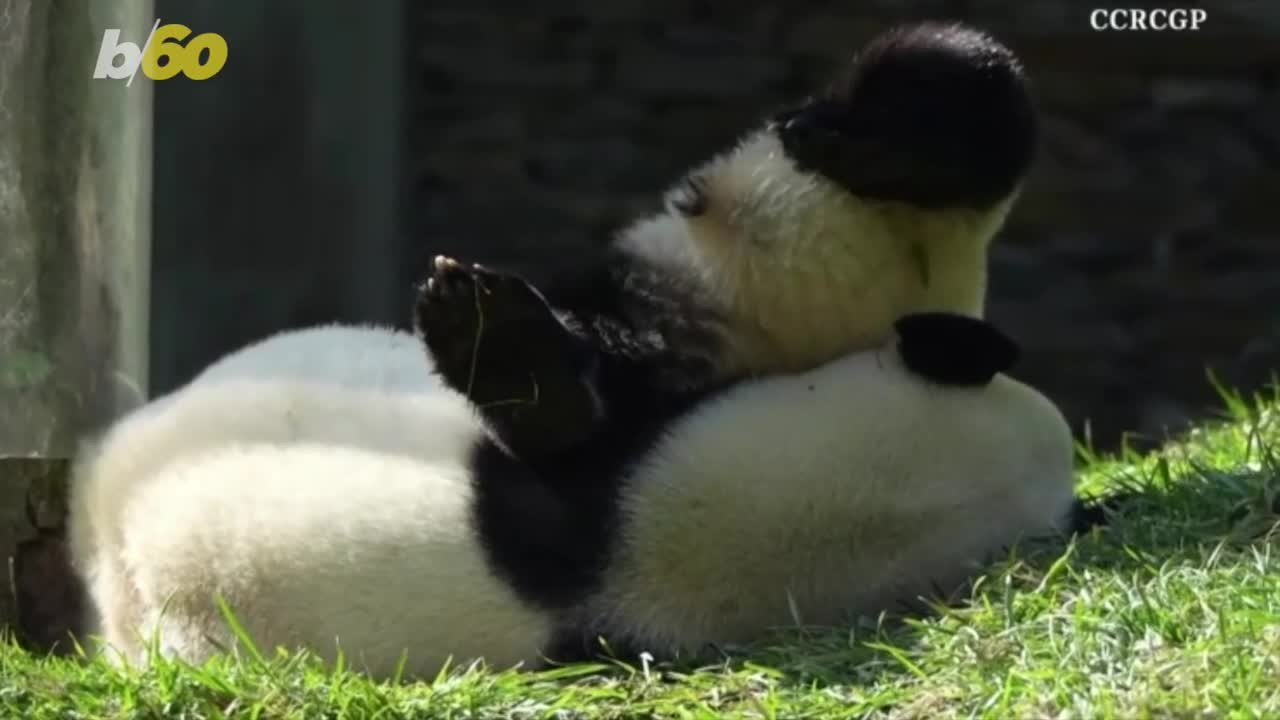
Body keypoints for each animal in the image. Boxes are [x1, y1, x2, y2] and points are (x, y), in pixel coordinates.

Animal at [415, 21, 1038, 463]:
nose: (811, 135)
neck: (903, 212)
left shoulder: (954, 264)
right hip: (677, 287)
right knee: (606, 328)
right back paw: (499, 343)